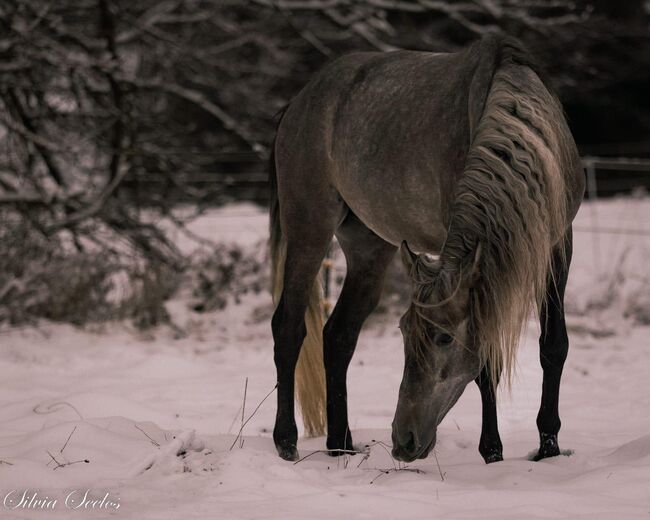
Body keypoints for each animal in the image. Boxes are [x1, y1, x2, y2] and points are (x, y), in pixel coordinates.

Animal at [266, 33, 584, 464]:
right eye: (403, 332)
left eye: (443, 337)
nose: (404, 440)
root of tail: (298, 104)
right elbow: (486, 361)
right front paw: (492, 452)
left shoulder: (556, 244)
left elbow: (553, 346)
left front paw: (548, 446)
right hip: (309, 231)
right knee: (288, 327)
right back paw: (286, 441)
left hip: (369, 248)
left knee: (338, 335)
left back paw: (340, 444)